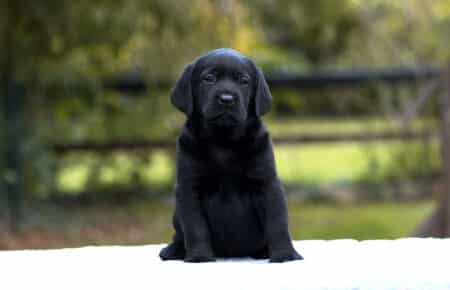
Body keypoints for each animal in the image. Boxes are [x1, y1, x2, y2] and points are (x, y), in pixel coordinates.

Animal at [158, 48, 302, 262]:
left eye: (243, 80)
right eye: (209, 78)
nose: (227, 99)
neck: (223, 140)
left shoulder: (267, 184)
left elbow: (278, 223)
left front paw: (284, 254)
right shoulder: (189, 188)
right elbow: (195, 227)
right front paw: (199, 256)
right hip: (176, 213)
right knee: (179, 233)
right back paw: (173, 250)